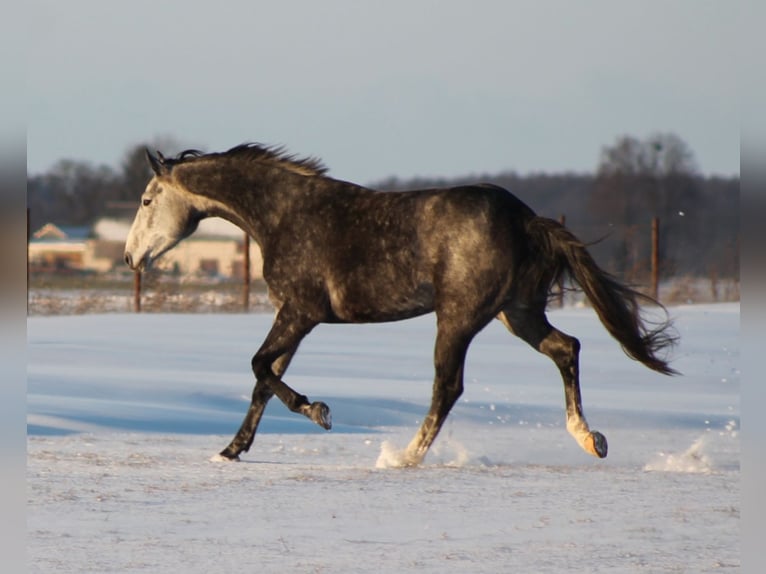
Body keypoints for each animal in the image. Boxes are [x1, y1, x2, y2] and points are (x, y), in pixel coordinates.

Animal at [124, 143, 677, 465]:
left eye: (148, 200)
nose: (131, 256)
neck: (284, 215)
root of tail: (526, 219)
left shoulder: (301, 313)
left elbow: (260, 366)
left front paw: (319, 411)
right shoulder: (293, 317)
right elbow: (263, 380)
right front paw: (231, 450)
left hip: (459, 318)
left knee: (448, 386)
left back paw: (404, 456)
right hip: (517, 313)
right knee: (567, 348)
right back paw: (590, 439)